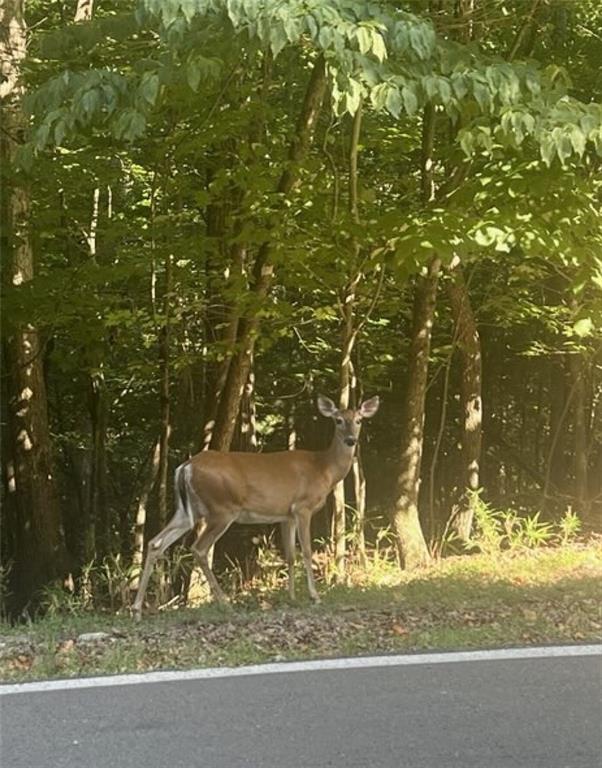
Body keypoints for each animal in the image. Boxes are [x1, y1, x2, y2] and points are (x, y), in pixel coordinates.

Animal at [132, 392, 378, 620]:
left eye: (358, 420)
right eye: (338, 420)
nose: (350, 440)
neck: (324, 469)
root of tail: (185, 467)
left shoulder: (286, 515)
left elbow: (290, 555)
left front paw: (291, 596)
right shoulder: (303, 507)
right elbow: (307, 551)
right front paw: (314, 596)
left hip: (187, 511)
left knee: (155, 543)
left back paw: (136, 609)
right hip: (221, 509)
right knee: (199, 549)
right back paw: (225, 603)